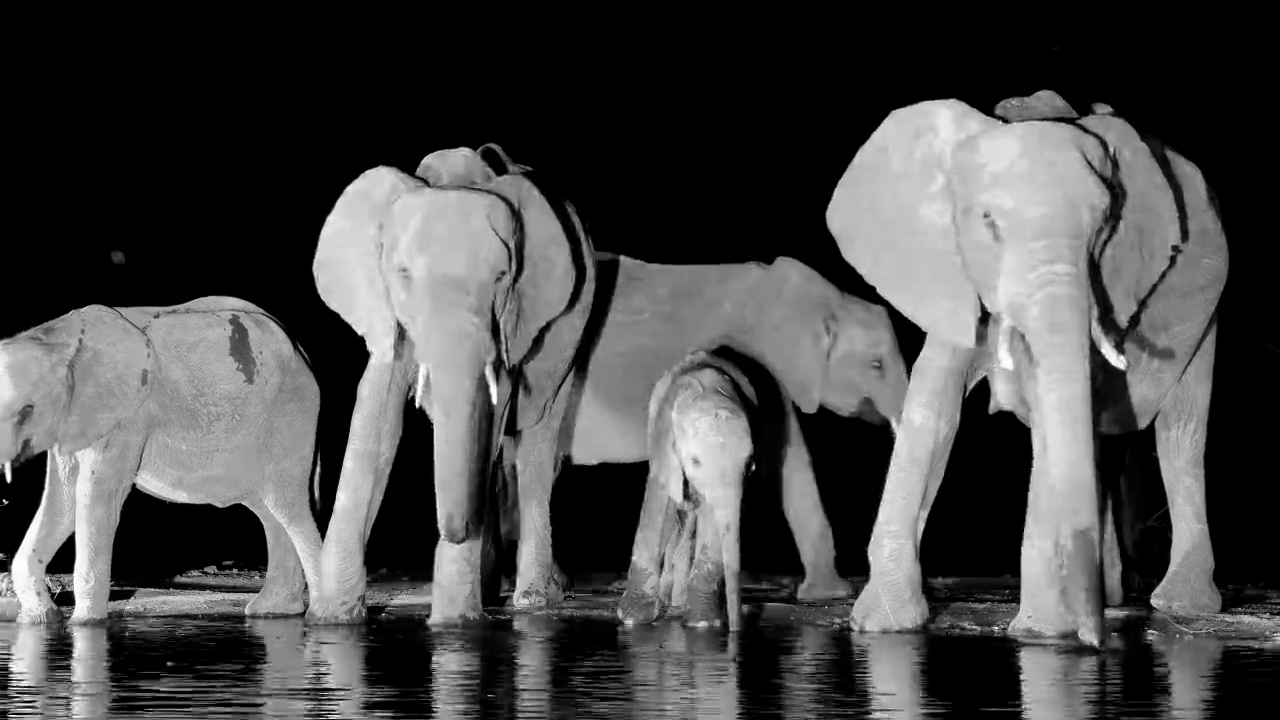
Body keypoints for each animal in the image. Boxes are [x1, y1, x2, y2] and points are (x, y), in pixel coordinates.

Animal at [0, 296, 323, 623]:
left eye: (27, 409)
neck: (57, 340)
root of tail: (302, 352)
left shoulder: (126, 415)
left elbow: (97, 495)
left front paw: (85, 625)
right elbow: (61, 500)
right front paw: (42, 619)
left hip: (291, 416)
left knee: (289, 507)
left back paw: (322, 616)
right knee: (270, 511)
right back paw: (272, 611)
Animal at [308, 143, 596, 625]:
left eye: (501, 278)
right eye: (403, 273)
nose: (455, 529)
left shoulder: (512, 320)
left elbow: (492, 417)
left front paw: (454, 625)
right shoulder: (387, 311)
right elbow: (377, 421)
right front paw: (330, 619)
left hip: (571, 336)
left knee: (536, 443)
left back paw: (533, 599)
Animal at [618, 346, 760, 631]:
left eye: (750, 464)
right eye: (695, 461)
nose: (736, 629)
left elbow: (712, 520)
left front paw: (703, 623)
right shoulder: (663, 439)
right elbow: (660, 506)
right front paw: (632, 618)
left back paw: (679, 608)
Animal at [825, 90, 1229, 645]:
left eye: (1104, 228)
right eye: (988, 222)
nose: (1098, 642)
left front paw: (1041, 634)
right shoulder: (954, 269)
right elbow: (934, 409)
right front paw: (883, 626)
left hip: (1206, 309)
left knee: (1181, 433)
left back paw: (1178, 603)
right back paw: (1111, 596)